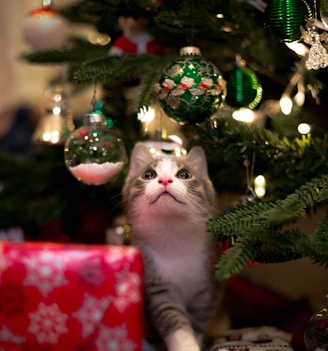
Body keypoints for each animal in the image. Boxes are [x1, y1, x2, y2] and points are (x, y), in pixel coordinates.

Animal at [122, 143, 220, 351]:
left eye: (184, 174)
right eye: (149, 174)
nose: (165, 180)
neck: (173, 235)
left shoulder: (209, 287)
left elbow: (199, 318)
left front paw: (196, 340)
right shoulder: (156, 285)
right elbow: (171, 316)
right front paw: (186, 345)